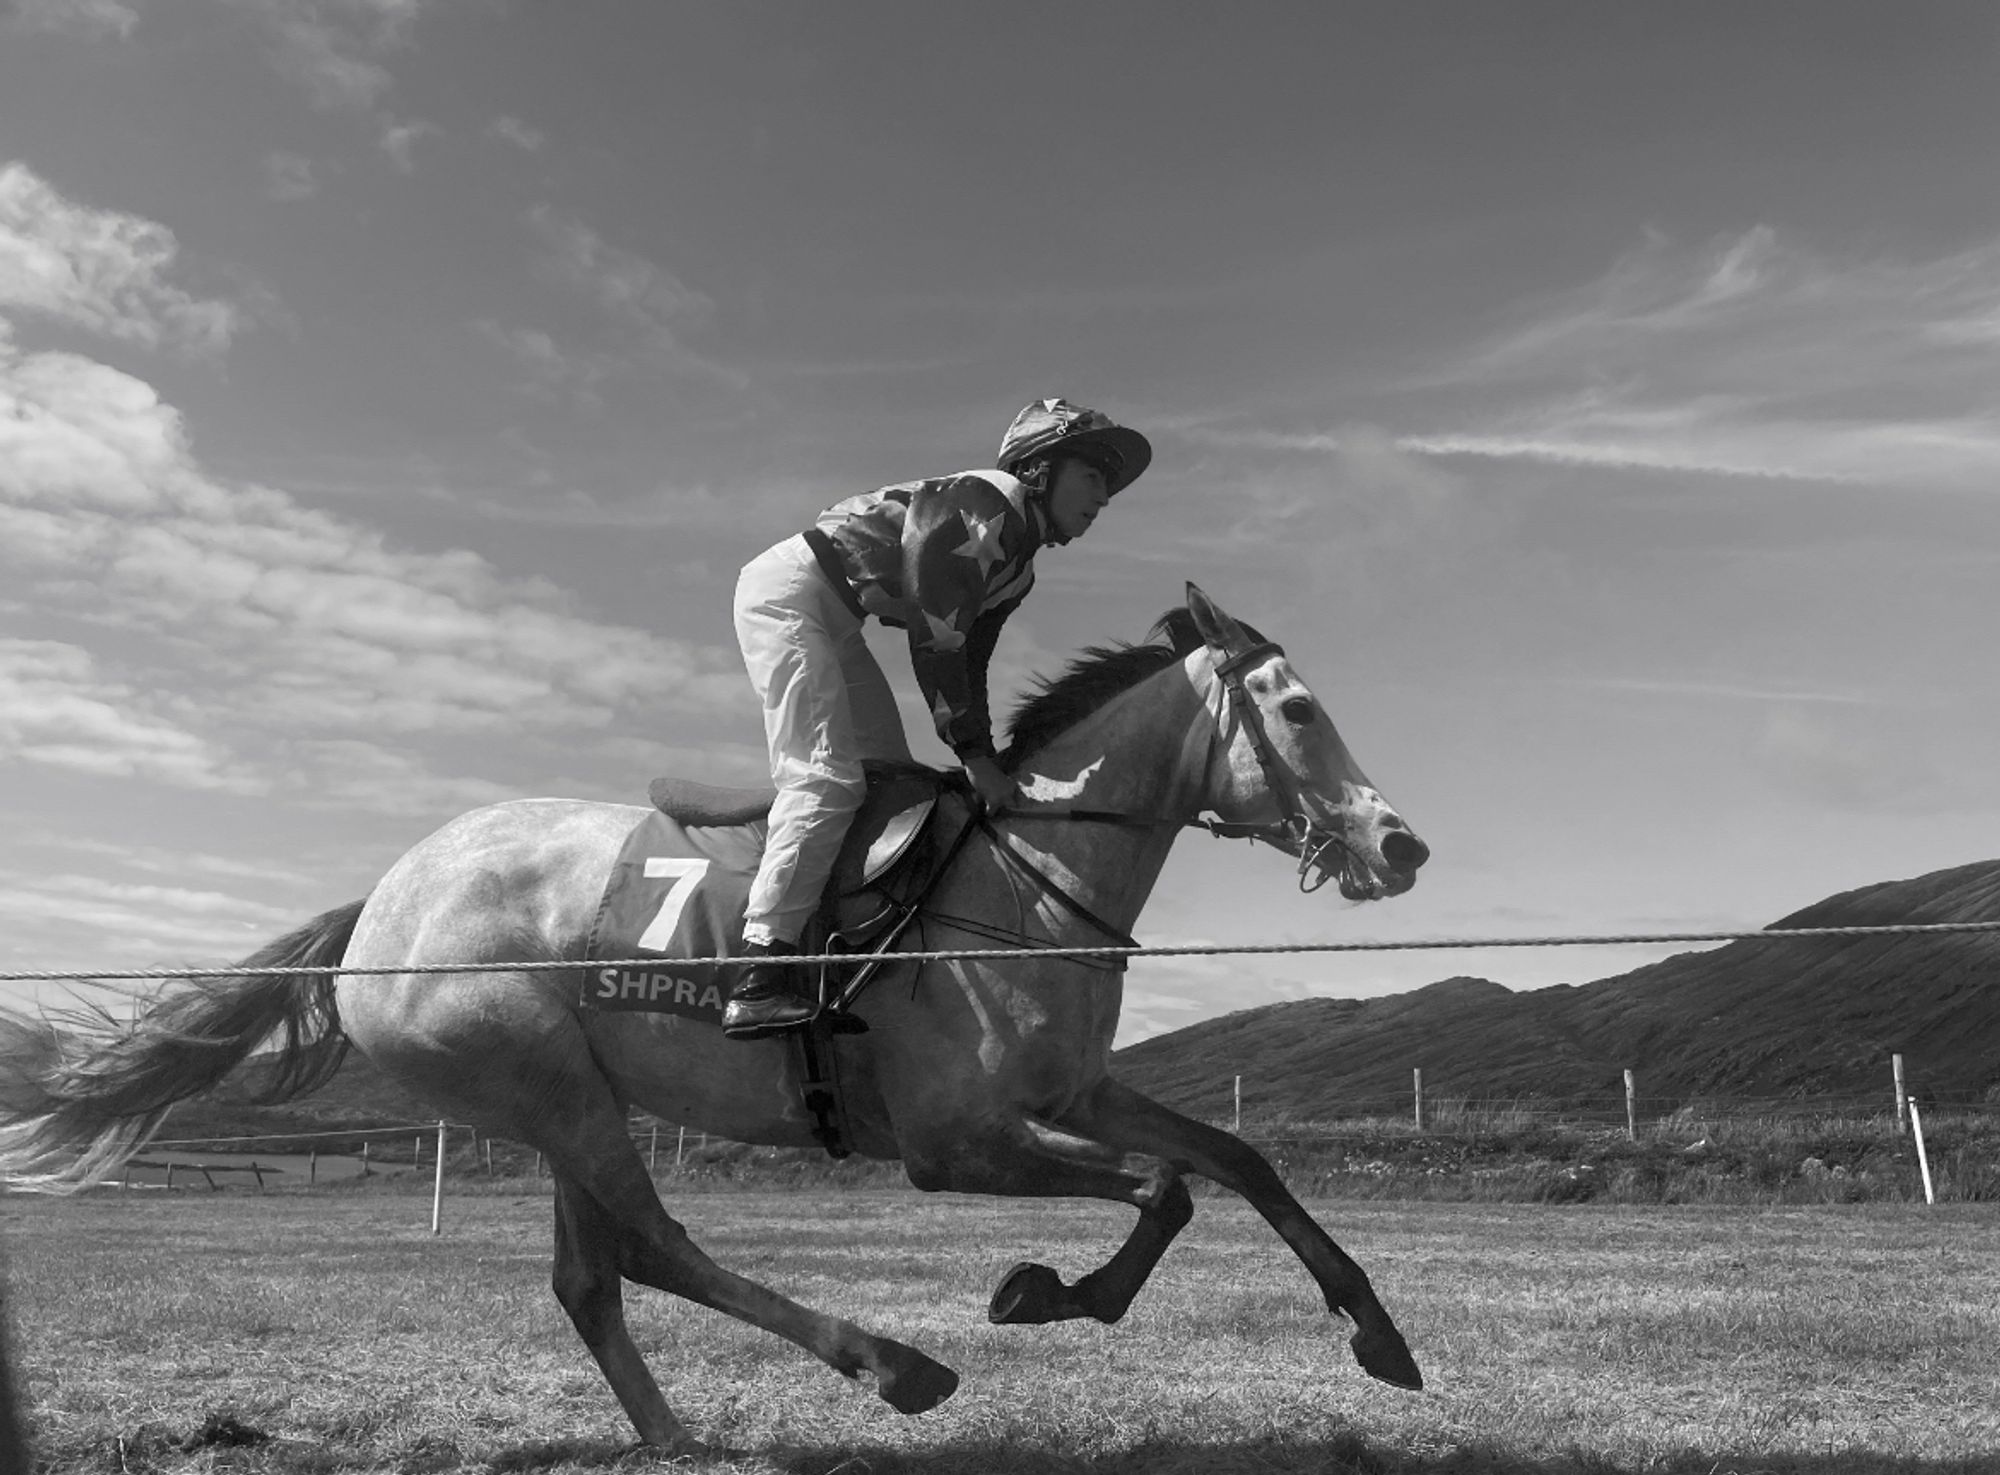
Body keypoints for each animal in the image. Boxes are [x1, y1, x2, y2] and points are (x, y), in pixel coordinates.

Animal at [3, 583, 1440, 1447]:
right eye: (1298, 707)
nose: (1401, 841)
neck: (1024, 881)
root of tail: (380, 907)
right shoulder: (956, 1143)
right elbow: (1164, 1187)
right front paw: (1044, 1292)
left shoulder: (1072, 1092)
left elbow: (1235, 1159)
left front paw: (1378, 1334)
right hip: (545, 1083)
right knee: (652, 1242)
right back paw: (890, 1363)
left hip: (566, 1099)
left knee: (594, 1273)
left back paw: (674, 1432)